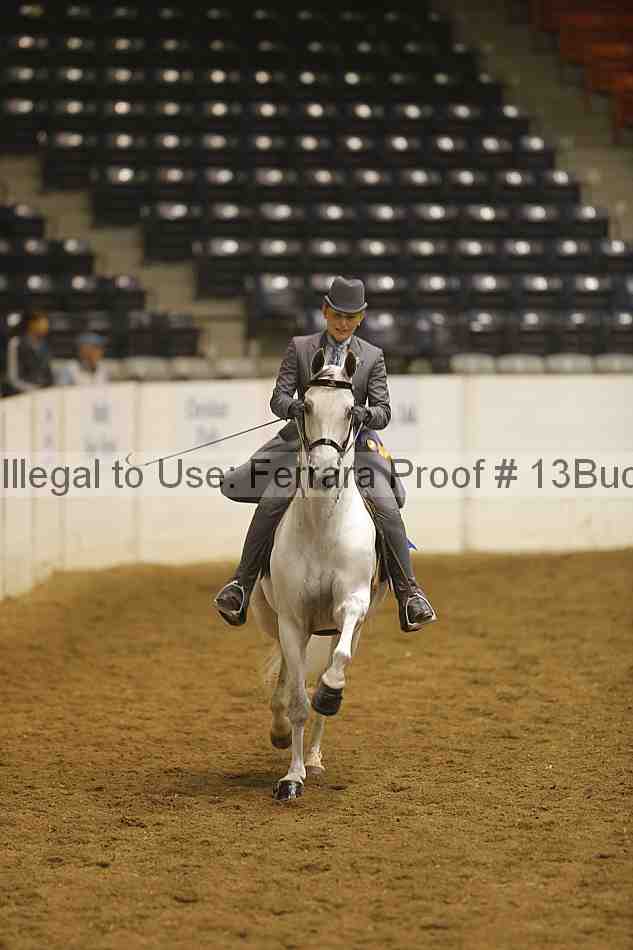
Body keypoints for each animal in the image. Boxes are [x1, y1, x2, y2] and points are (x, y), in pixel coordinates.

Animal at [250, 347, 388, 803]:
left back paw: (314, 755)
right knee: (285, 672)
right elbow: (296, 700)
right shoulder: (293, 621)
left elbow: (334, 669)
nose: (325, 473)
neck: (323, 527)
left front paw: (329, 695)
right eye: (306, 406)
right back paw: (282, 733)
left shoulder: (353, 606)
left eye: (350, 410)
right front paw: (290, 778)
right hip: (272, 618)